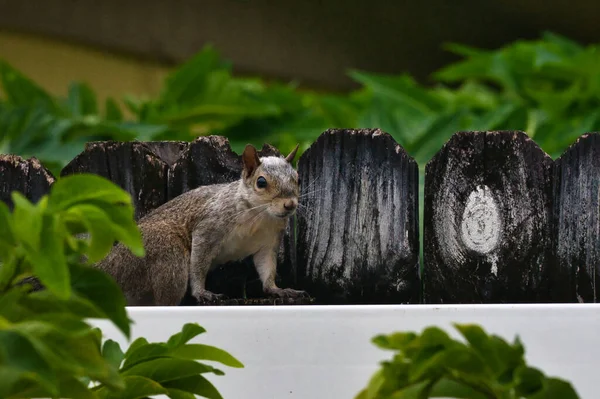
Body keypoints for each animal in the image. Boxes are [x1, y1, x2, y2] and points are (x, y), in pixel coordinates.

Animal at [96, 143, 310, 306]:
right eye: (261, 182)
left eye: (298, 179)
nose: (290, 204)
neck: (258, 216)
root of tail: (107, 267)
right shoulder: (208, 227)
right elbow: (198, 263)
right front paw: (202, 292)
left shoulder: (268, 242)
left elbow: (267, 267)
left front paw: (278, 289)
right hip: (164, 250)